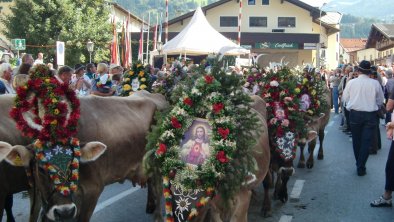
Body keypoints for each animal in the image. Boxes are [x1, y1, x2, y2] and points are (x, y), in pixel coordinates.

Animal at [0, 93, 167, 221]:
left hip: (159, 163)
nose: (64, 212)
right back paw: (150, 206)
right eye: (41, 168)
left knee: (159, 189)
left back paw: (158, 215)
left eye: (74, 163)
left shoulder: (93, 189)